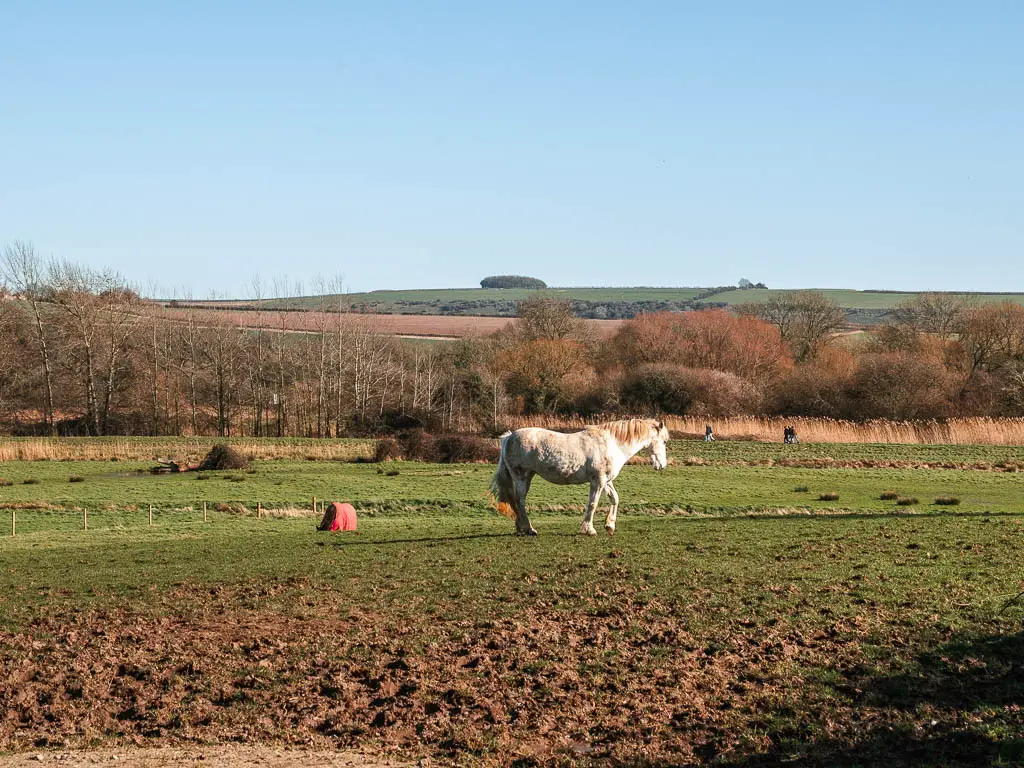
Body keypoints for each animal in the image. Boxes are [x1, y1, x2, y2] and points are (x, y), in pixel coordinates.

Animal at [489, 417, 671, 536]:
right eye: (664, 441)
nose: (661, 465)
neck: (612, 444)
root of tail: (509, 437)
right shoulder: (598, 481)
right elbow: (592, 504)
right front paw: (589, 529)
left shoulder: (606, 481)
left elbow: (615, 499)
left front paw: (610, 525)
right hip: (522, 477)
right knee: (519, 501)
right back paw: (529, 528)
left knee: (516, 502)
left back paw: (521, 528)